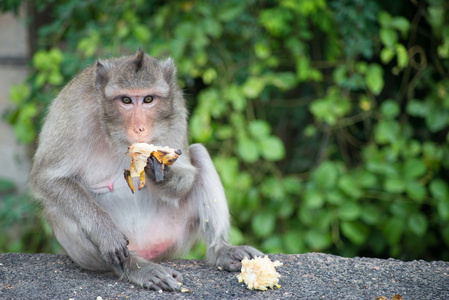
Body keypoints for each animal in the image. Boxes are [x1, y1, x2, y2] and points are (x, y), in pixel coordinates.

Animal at [28, 48, 260, 290]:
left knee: (199, 153)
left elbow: (187, 174)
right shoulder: (74, 111)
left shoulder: (176, 107)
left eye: (148, 99)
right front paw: (106, 233)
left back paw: (221, 250)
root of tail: (146, 249)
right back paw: (136, 267)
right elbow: (47, 179)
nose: (139, 128)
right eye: (126, 100)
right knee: (56, 206)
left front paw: (159, 171)